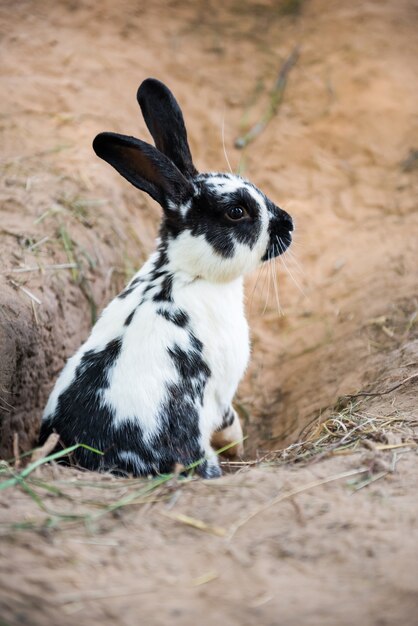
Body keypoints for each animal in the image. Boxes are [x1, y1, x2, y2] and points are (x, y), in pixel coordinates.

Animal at [40, 78, 294, 478]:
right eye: (237, 212)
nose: (289, 224)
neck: (186, 273)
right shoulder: (222, 390)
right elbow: (231, 424)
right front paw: (240, 451)